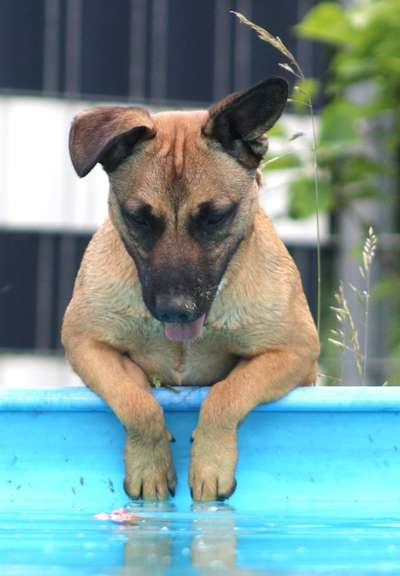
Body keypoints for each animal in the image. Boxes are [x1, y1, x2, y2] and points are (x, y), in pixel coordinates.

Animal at [61, 76, 318, 500]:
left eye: (216, 217)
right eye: (138, 218)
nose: (174, 310)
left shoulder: (293, 354)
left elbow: (227, 393)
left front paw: (210, 463)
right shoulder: (87, 345)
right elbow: (137, 402)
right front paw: (150, 464)